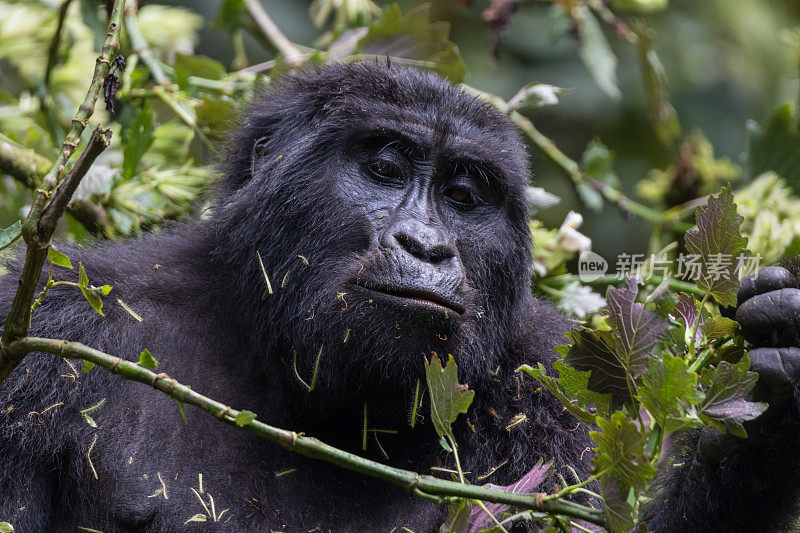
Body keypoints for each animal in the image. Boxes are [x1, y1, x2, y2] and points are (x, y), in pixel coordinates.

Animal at [1, 63, 800, 532]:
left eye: (464, 195)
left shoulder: (566, 390)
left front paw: (773, 411)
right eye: (384, 166)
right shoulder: (47, 327)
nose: (427, 246)